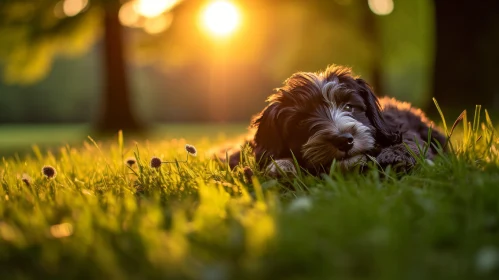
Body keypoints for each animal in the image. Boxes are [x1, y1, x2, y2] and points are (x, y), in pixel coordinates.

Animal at [229, 65, 448, 176]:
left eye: (349, 107)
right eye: (302, 121)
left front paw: (397, 155)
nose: (344, 140)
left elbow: (412, 142)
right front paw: (282, 165)